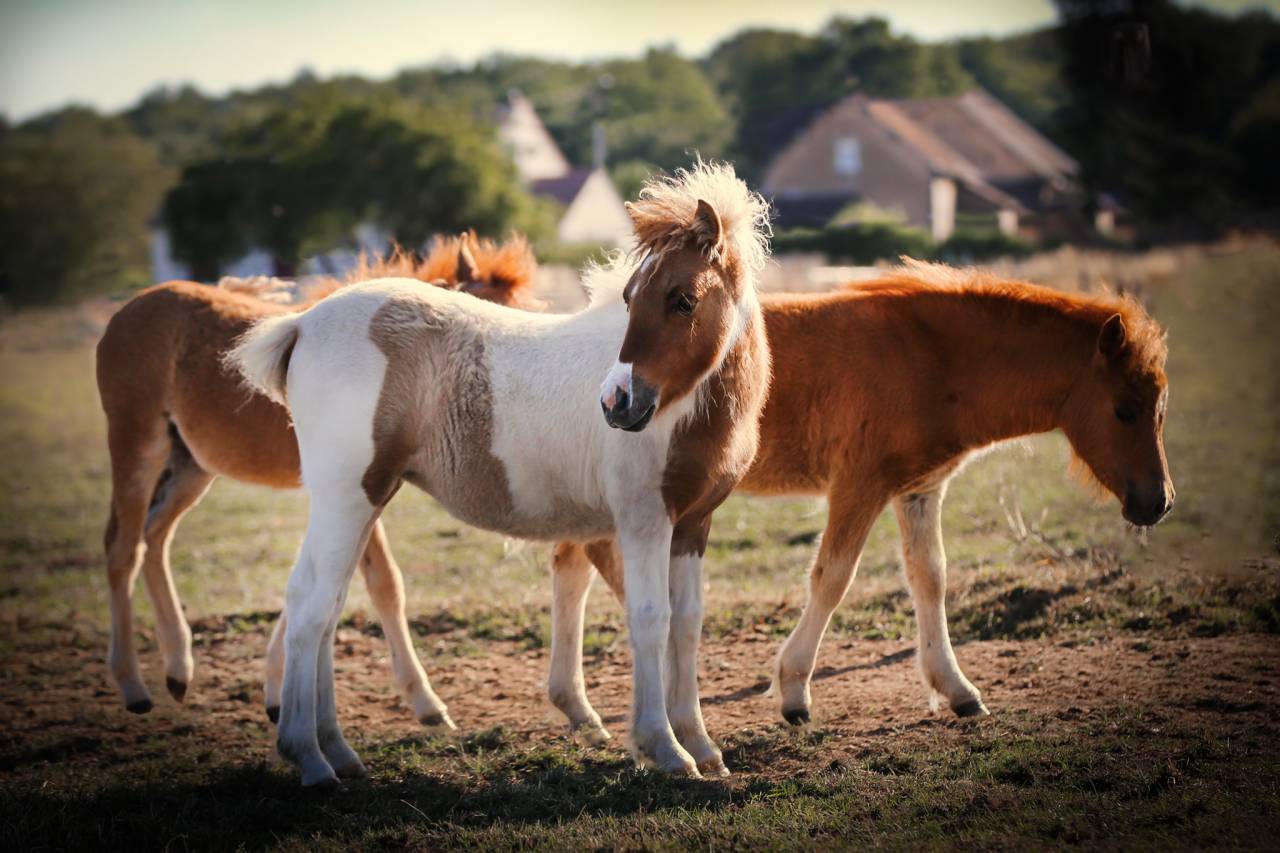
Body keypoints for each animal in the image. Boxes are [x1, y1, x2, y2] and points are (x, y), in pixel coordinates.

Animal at [95, 233, 538, 727]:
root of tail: (127, 310)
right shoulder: (357, 489)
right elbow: (382, 584)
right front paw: (426, 703)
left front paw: (276, 694)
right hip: (138, 447)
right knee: (123, 548)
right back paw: (133, 685)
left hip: (191, 466)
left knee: (155, 536)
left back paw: (178, 668)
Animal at [227, 161, 773, 786]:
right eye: (630, 297)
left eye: (682, 299)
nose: (616, 402)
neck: (686, 408)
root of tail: (301, 324)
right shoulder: (642, 521)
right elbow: (650, 619)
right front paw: (664, 748)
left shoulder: (692, 525)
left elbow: (687, 623)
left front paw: (701, 745)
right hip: (347, 497)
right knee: (312, 604)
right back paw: (311, 758)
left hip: (365, 500)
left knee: (327, 602)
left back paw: (338, 751)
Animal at [544, 259, 1174, 741]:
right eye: (1125, 410)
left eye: (1160, 410)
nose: (1158, 503)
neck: (930, 358)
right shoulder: (860, 484)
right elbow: (833, 578)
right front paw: (793, 691)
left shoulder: (920, 489)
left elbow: (930, 577)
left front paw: (956, 687)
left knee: (572, 563)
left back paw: (581, 711)